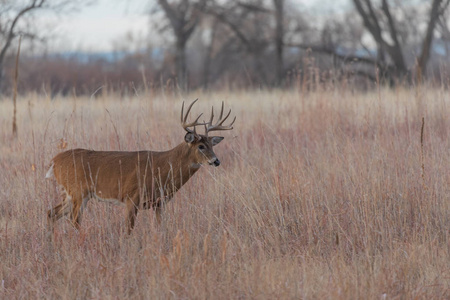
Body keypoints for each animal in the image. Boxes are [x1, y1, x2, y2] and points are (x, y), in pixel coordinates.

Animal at [46, 100, 236, 234]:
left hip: (71, 193)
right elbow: (128, 231)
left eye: (212, 145)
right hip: (79, 191)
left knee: (52, 213)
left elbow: (161, 228)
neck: (164, 167)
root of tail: (54, 161)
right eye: (201, 146)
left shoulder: (159, 203)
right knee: (74, 220)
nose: (216, 161)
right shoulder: (132, 197)